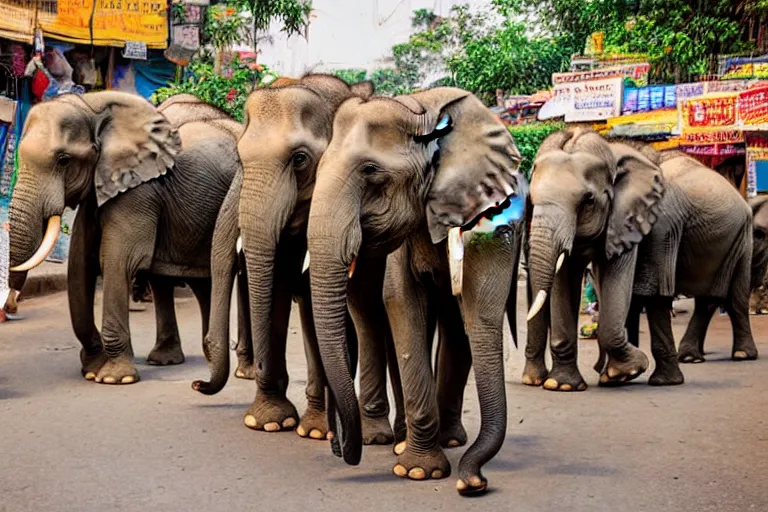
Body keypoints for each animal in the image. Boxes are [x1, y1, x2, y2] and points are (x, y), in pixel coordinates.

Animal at [8, 91, 243, 384]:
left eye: (63, 159)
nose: (11, 306)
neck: (93, 106)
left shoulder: (139, 190)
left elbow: (116, 260)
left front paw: (113, 378)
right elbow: (80, 265)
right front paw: (93, 370)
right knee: (192, 281)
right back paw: (174, 359)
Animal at [190, 73, 402, 444]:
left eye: (300, 159)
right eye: (239, 158)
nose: (197, 383)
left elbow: (308, 297)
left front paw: (316, 430)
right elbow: (280, 285)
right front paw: (270, 422)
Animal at [306, 88, 528, 496]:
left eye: (370, 170)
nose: (474, 482)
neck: (422, 108)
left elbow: (473, 312)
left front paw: (427, 469)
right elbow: (402, 303)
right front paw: (419, 471)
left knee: (456, 325)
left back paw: (449, 439)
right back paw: (402, 441)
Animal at [528, 128, 756, 392]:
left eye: (588, 200)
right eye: (531, 199)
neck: (612, 151)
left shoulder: (656, 221)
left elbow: (644, 289)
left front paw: (628, 371)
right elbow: (567, 278)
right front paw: (564, 385)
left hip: (743, 238)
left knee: (735, 297)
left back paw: (740, 355)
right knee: (708, 300)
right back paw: (689, 358)